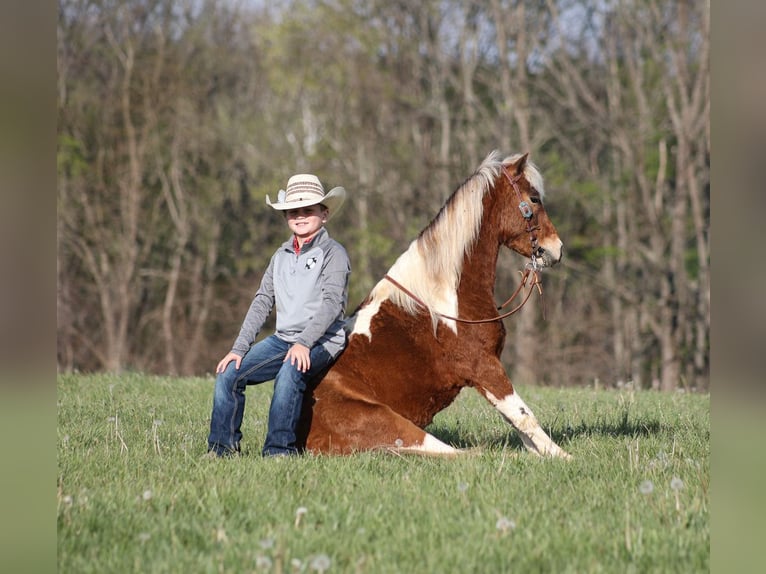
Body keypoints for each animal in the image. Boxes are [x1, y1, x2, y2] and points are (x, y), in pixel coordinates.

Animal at [297, 151, 570, 458]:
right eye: (534, 198)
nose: (557, 249)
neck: (444, 296)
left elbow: (518, 424)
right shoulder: (485, 367)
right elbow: (524, 416)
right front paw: (564, 458)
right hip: (394, 425)